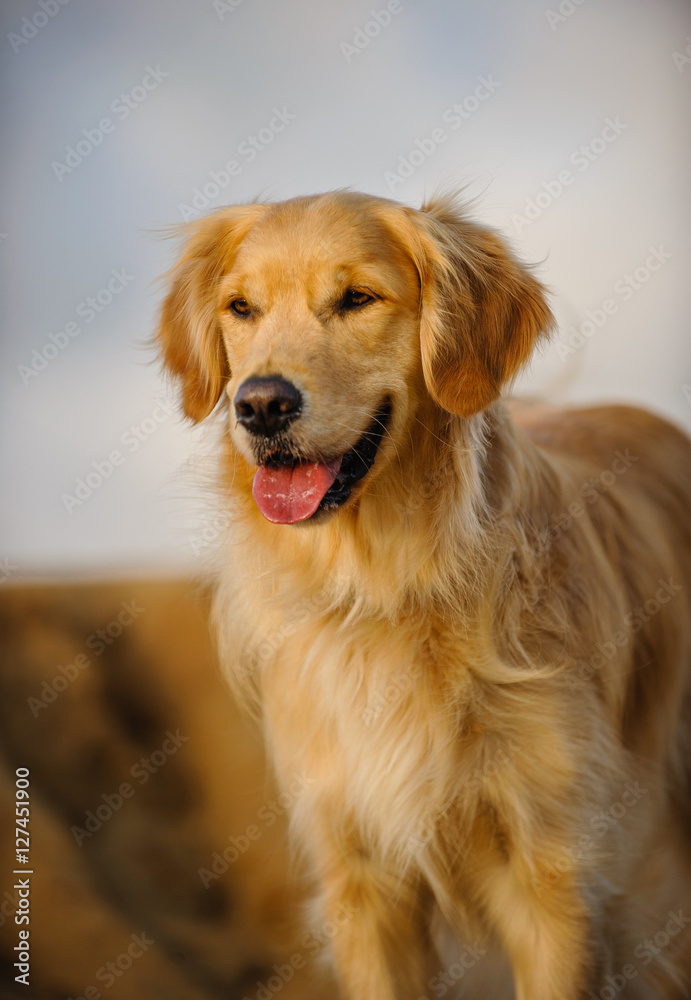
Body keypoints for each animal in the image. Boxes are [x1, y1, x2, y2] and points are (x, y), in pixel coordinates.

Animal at [157, 191, 691, 996]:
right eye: (240, 307)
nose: (260, 406)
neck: (386, 587)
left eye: (357, 298)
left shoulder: (558, 876)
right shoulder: (361, 879)